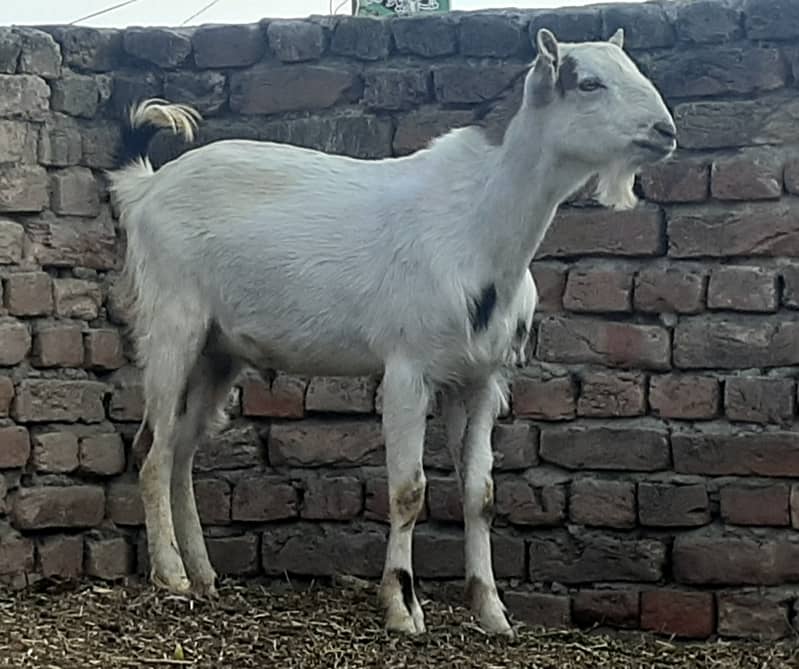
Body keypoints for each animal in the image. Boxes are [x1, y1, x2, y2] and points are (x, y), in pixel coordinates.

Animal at [109, 28, 680, 636]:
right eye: (589, 83)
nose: (665, 131)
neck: (472, 224)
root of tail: (145, 188)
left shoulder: (481, 379)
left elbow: (480, 493)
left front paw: (491, 611)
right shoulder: (409, 370)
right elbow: (409, 490)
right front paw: (402, 608)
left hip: (219, 351)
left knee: (182, 449)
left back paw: (203, 574)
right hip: (173, 320)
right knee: (153, 448)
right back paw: (171, 576)